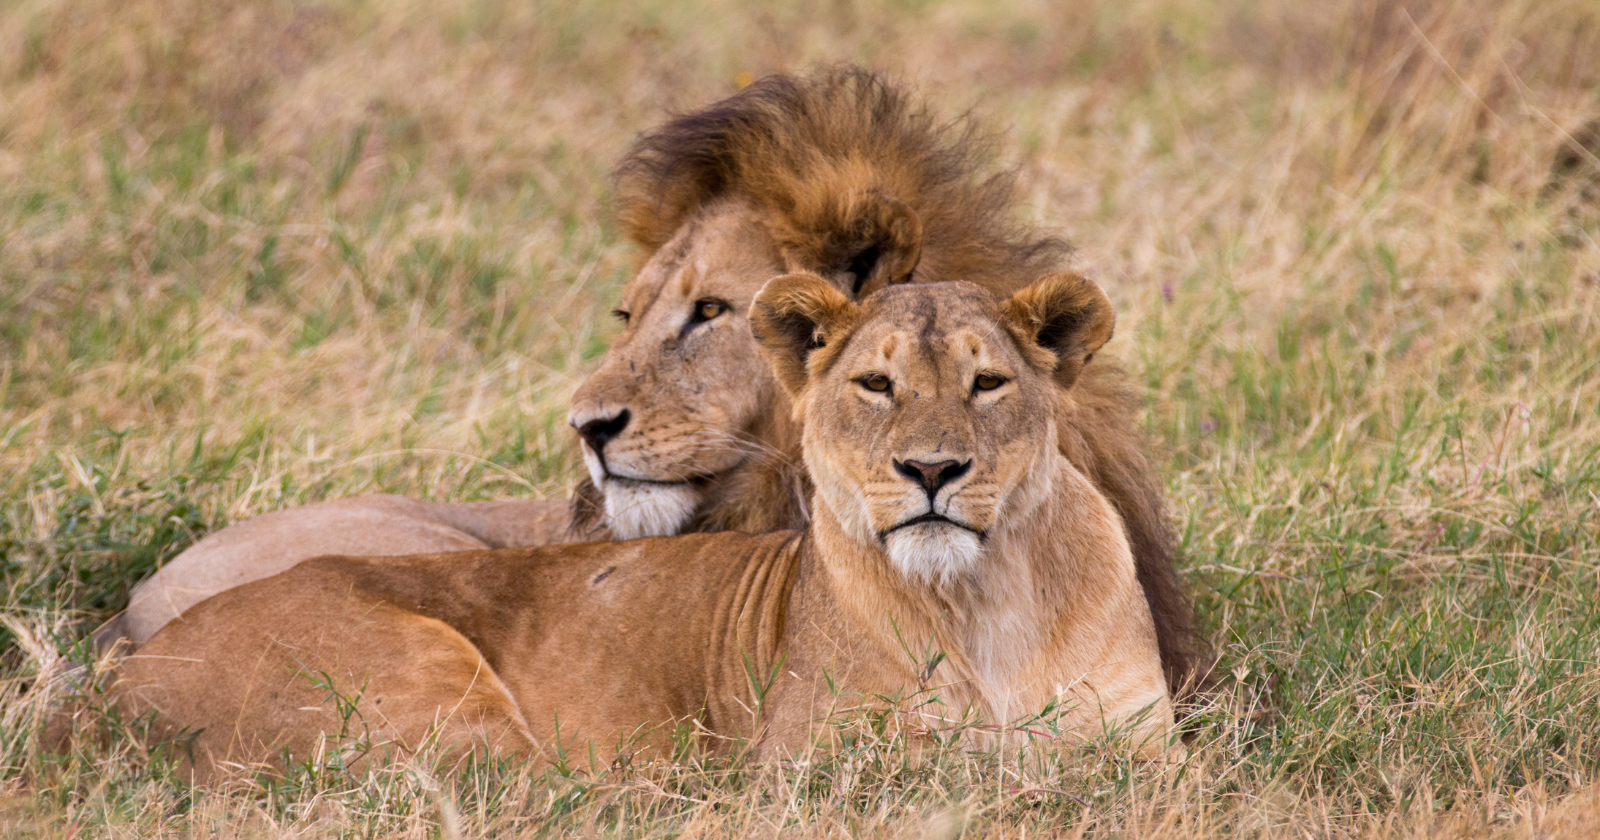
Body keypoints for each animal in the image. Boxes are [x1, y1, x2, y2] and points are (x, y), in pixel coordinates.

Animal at [109, 273, 1175, 783]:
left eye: (987, 383)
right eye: (876, 385)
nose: (932, 471)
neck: (988, 598)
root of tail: (121, 674)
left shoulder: (1142, 751)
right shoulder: (821, 770)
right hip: (426, 692)